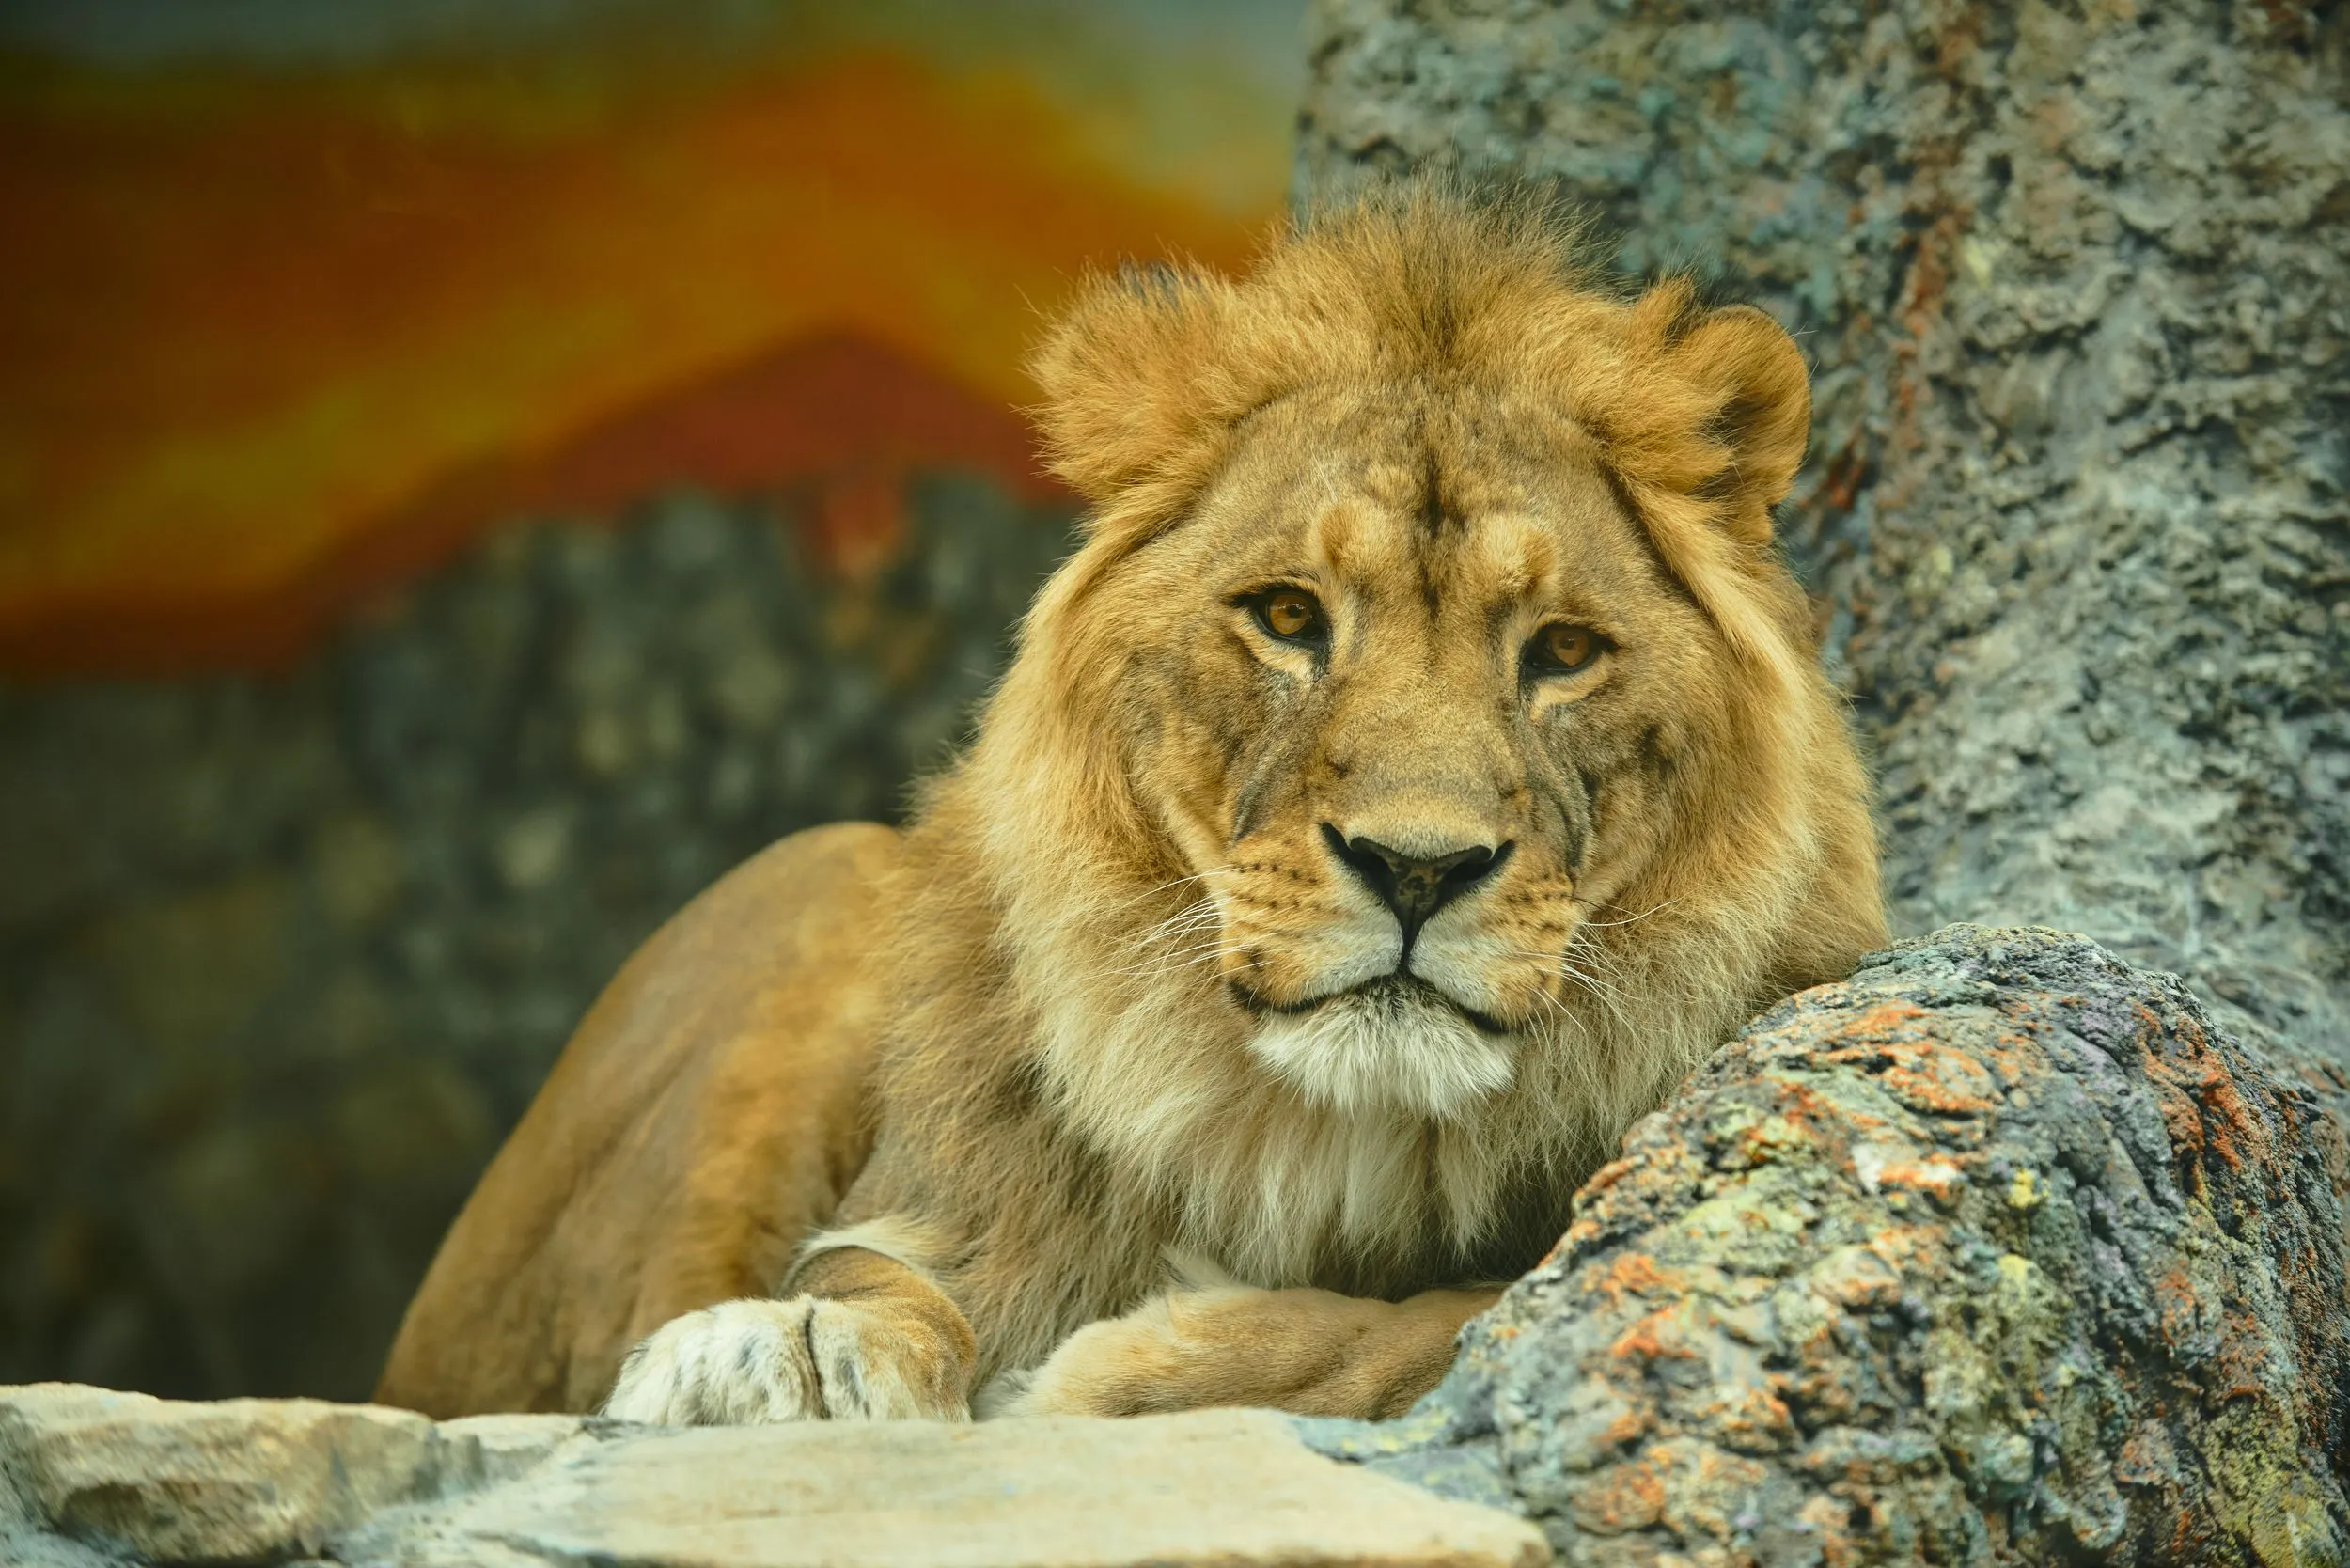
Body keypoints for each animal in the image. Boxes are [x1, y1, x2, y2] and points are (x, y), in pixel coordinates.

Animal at [381, 180, 1889, 1419]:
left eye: (1564, 651)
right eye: (1287, 618)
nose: (1416, 869)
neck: (1313, 1142)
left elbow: (1443, 1318)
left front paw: (1133, 1364)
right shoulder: (932, 1203)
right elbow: (879, 1275)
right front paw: (794, 1349)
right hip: (814, 875)